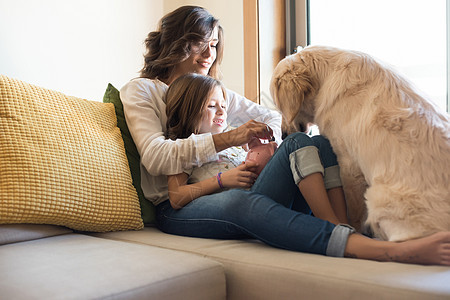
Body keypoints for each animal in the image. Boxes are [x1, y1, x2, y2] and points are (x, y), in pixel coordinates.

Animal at [270, 45, 450, 241]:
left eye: (279, 106)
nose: (283, 135)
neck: (325, 77)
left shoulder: (349, 166)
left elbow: (353, 211)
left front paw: (353, 227)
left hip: (378, 197)